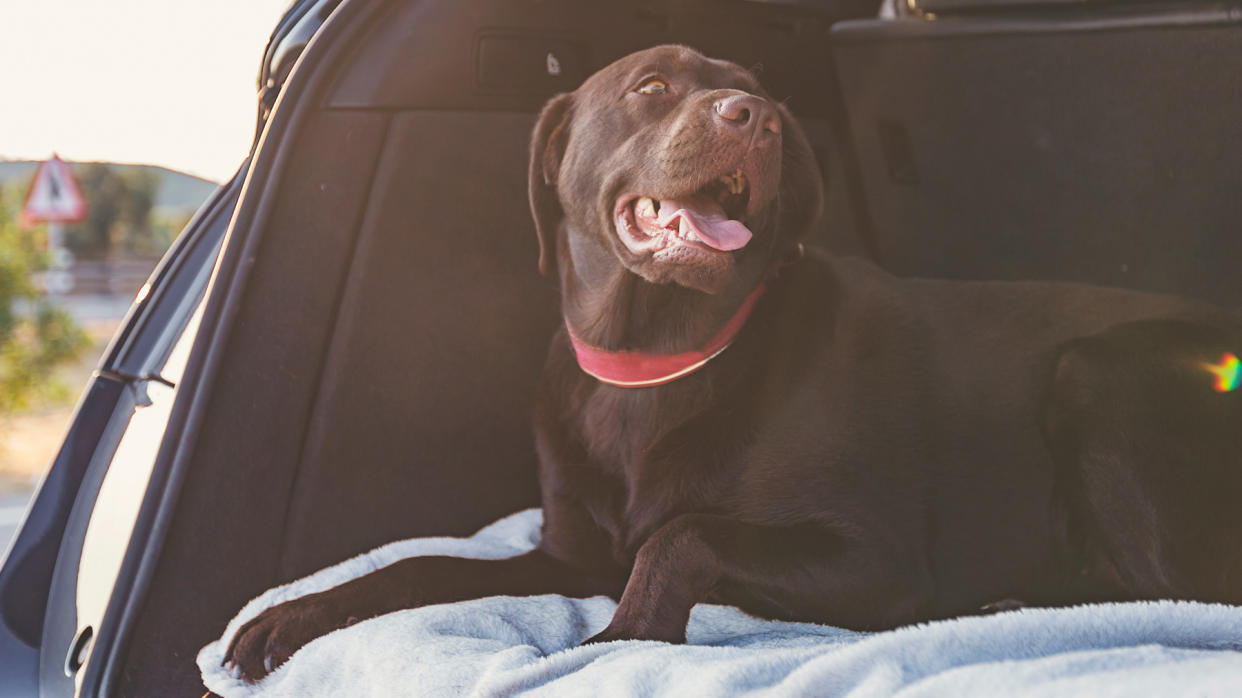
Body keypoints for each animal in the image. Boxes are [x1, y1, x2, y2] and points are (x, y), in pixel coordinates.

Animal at [223, 43, 1242, 680]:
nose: (756, 120)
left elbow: (681, 534)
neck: (653, 363)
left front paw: (622, 638)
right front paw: (291, 616)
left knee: (1184, 596)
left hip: (1099, 373)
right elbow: (419, 565)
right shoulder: (567, 555)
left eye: (761, 98)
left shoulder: (874, 560)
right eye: (650, 86)